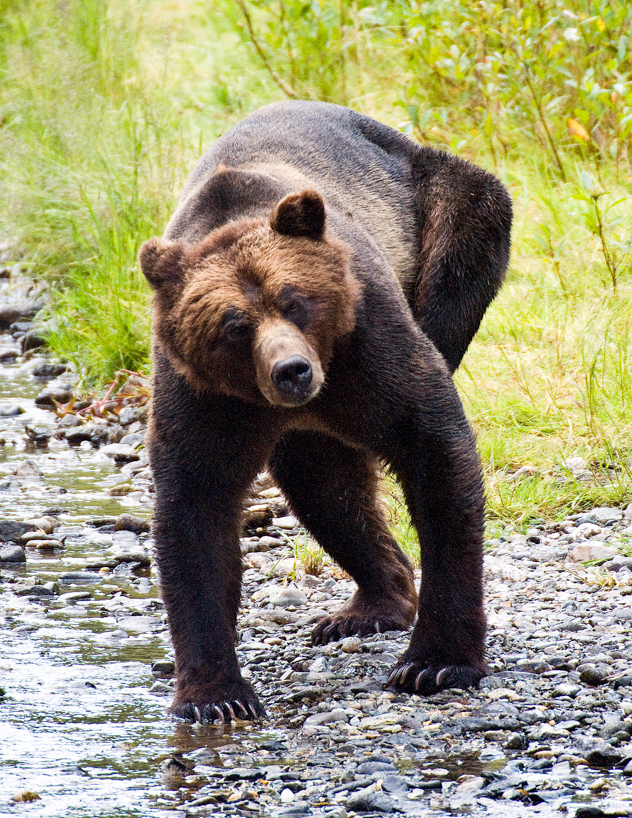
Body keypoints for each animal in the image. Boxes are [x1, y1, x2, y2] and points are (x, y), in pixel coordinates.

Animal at [139, 100, 512, 723]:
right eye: (234, 326)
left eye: (295, 301)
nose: (292, 371)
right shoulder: (202, 397)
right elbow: (195, 509)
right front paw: (215, 695)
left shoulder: (368, 343)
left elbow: (431, 448)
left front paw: (435, 663)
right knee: (324, 483)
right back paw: (371, 602)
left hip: (438, 213)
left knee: (466, 237)